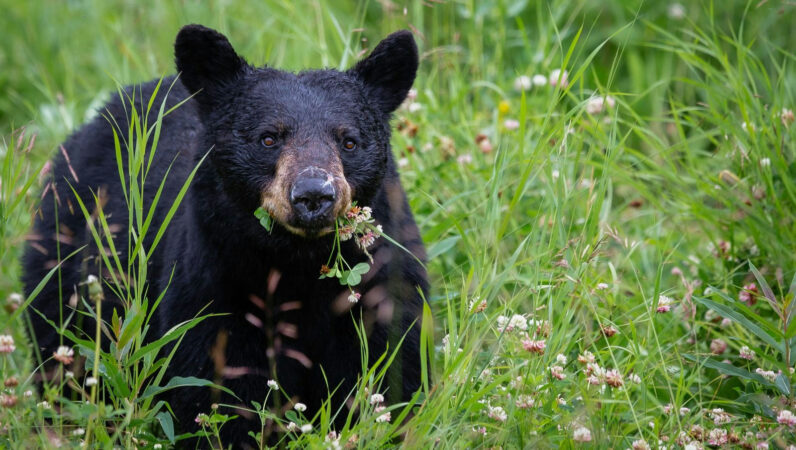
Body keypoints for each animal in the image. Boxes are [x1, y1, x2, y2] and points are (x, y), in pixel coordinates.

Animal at [22, 24, 428, 447]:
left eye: (349, 141)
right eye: (268, 138)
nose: (313, 194)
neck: (297, 263)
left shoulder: (382, 284)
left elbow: (389, 369)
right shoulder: (212, 284)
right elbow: (217, 387)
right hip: (64, 258)